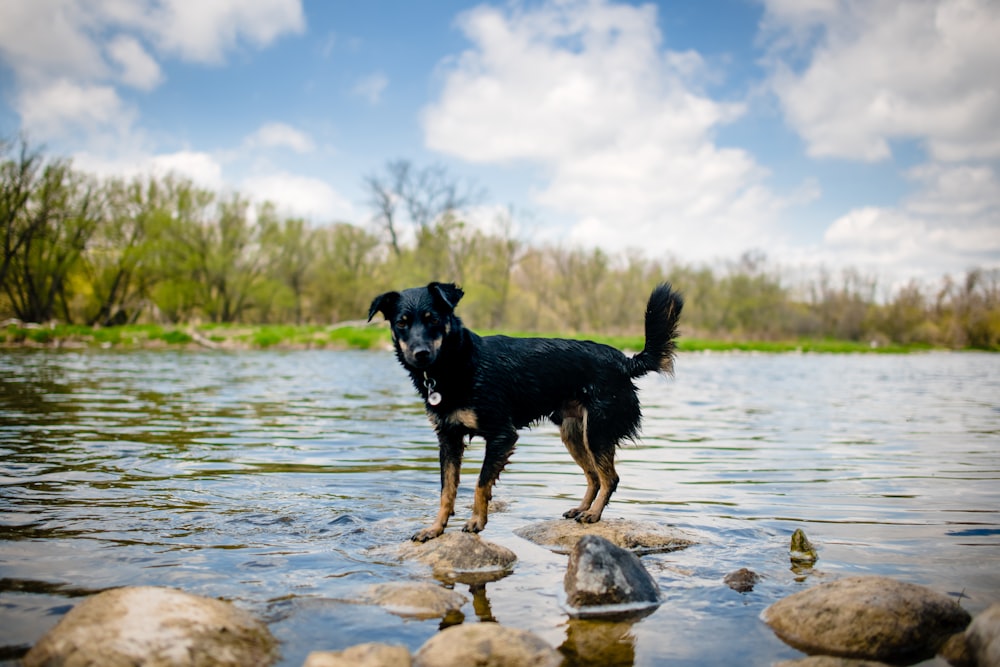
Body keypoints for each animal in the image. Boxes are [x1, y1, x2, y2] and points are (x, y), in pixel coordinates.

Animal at [372, 282, 684, 544]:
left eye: (433, 319)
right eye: (401, 323)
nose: (420, 353)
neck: (456, 364)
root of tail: (624, 362)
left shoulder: (501, 435)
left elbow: (480, 483)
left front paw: (476, 522)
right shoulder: (448, 439)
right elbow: (446, 491)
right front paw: (435, 529)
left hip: (597, 432)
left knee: (610, 478)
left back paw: (593, 514)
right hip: (574, 434)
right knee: (594, 476)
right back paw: (581, 508)